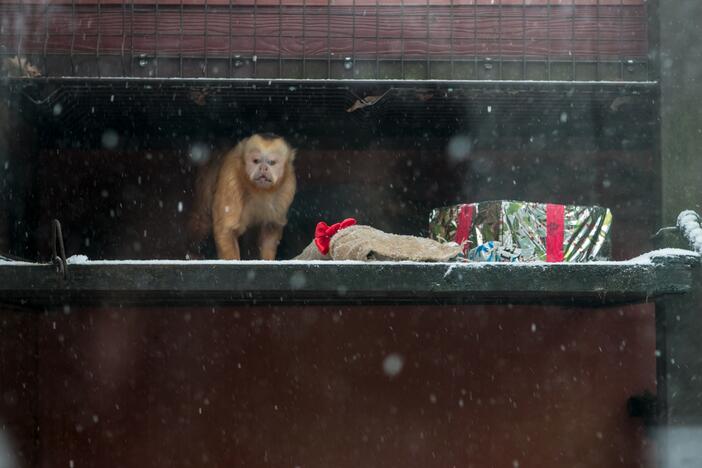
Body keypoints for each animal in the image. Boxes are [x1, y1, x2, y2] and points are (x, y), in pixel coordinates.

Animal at [187, 133, 296, 262]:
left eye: (271, 162)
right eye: (256, 161)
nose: (263, 168)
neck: (259, 191)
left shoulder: (288, 187)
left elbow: (271, 227)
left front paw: (267, 260)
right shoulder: (231, 179)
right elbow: (226, 230)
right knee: (202, 221)